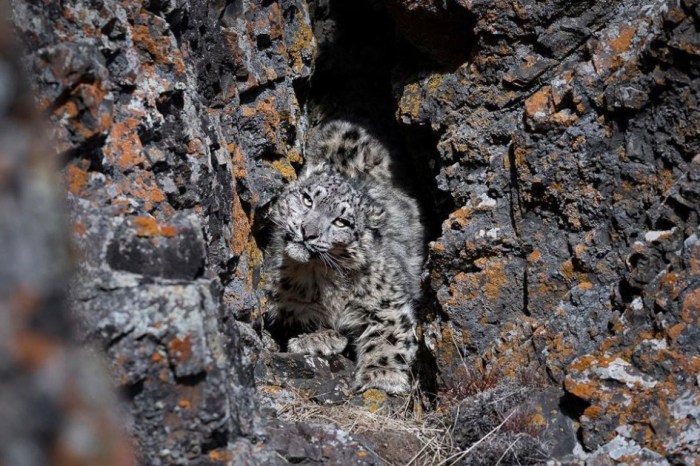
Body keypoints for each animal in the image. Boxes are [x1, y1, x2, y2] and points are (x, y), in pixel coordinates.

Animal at [265, 120, 424, 394]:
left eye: (341, 222)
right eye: (307, 200)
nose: (308, 232)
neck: (321, 279)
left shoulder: (387, 302)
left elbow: (390, 336)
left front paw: (382, 375)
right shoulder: (285, 309)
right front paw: (317, 339)